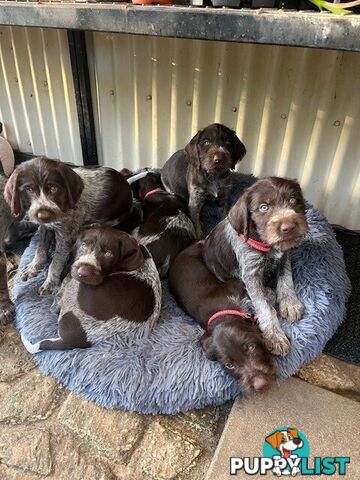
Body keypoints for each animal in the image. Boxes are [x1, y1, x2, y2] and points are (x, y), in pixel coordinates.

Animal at [3, 158, 134, 296]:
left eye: (54, 188)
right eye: (29, 189)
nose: (43, 215)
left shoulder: (65, 237)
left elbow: (56, 261)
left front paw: (50, 282)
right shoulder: (45, 227)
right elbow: (40, 250)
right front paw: (34, 267)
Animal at [204, 176, 308, 356]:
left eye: (293, 200)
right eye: (264, 207)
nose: (288, 227)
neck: (265, 244)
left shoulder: (284, 257)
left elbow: (286, 279)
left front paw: (289, 302)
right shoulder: (251, 274)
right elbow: (264, 306)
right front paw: (275, 335)